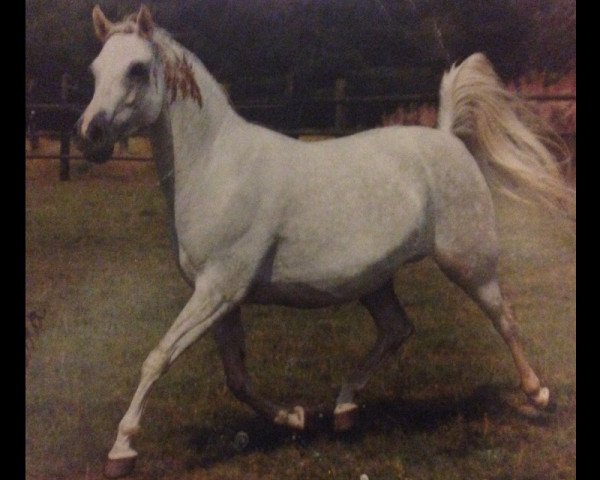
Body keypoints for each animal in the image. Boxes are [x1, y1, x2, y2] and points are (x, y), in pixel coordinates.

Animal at [74, 5, 572, 478]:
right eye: (95, 70)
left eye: (138, 69)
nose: (89, 136)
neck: (216, 167)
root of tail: (449, 137)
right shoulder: (218, 298)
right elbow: (236, 378)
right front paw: (294, 418)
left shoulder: (219, 290)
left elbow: (158, 358)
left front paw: (122, 451)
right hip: (375, 281)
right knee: (397, 329)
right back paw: (344, 410)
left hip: (469, 262)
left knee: (504, 318)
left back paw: (537, 395)